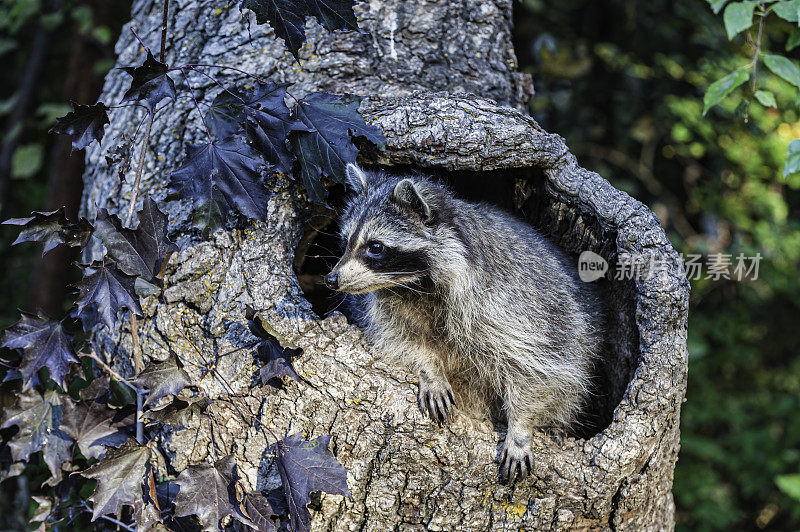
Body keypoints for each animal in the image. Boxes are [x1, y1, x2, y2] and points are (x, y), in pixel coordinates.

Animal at [322, 163, 604, 482]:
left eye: (375, 247)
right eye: (345, 241)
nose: (331, 279)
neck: (416, 286)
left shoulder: (515, 308)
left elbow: (539, 368)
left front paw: (521, 426)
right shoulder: (388, 305)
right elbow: (401, 338)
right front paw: (430, 368)